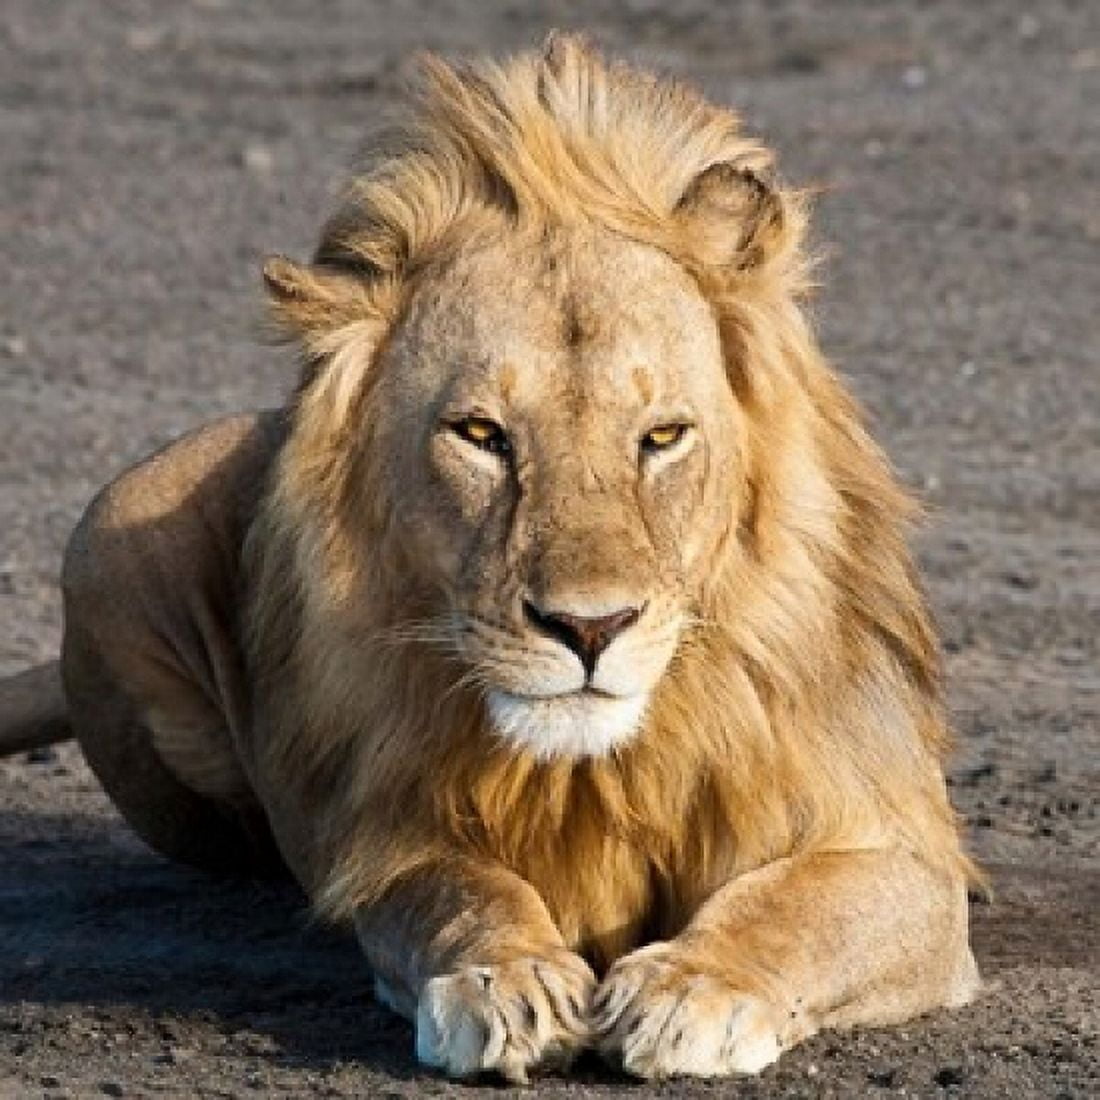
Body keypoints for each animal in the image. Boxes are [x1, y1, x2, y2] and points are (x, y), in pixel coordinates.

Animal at [0, 34, 979, 1082]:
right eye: (481, 435)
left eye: (662, 437)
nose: (590, 628)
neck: (597, 771)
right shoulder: (385, 837)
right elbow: (457, 892)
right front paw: (503, 981)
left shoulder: (910, 862)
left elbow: (792, 910)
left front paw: (694, 988)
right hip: (114, 526)